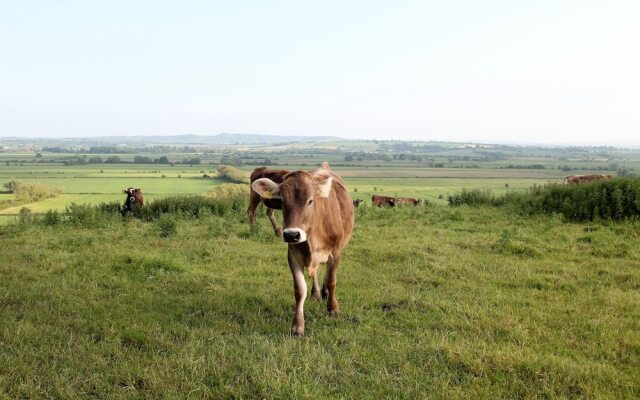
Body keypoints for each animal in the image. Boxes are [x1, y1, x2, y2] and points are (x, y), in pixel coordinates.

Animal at [251, 161, 356, 336]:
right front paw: (297, 326)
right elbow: (300, 290)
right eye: (282, 202)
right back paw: (316, 293)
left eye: (310, 201)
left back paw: (324, 293)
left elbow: (331, 280)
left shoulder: (335, 252)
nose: (292, 235)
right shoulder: (293, 255)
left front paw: (333, 308)